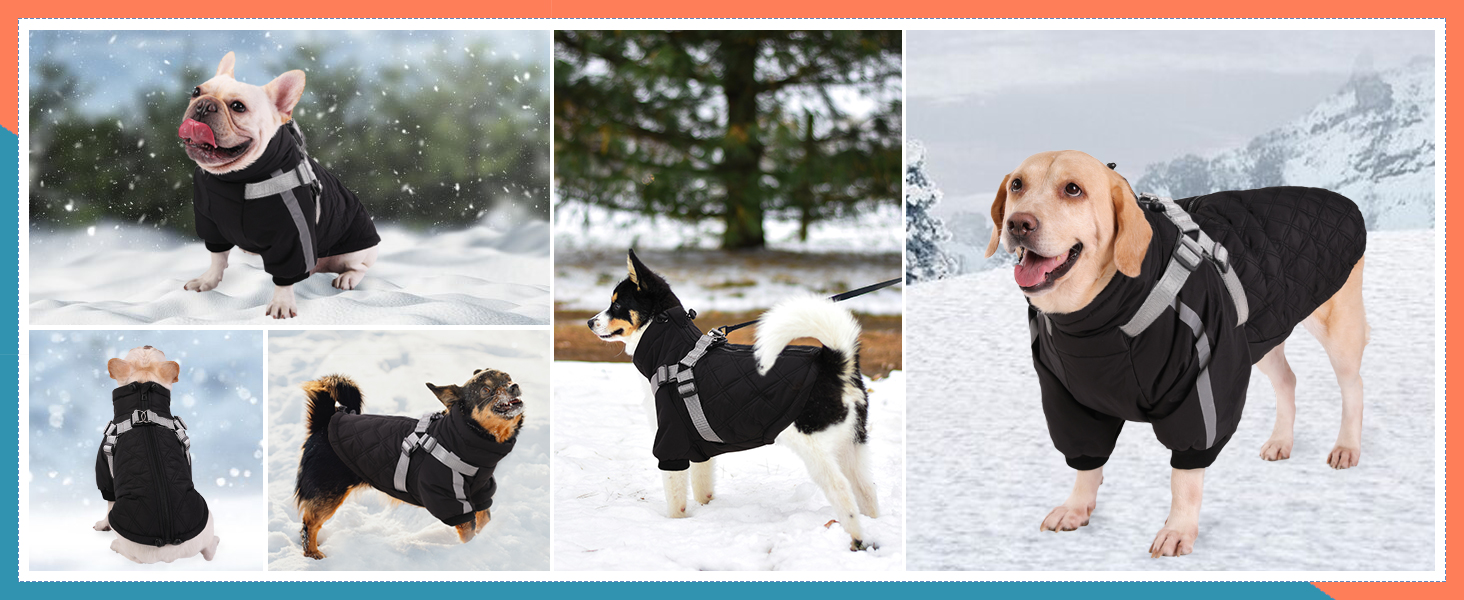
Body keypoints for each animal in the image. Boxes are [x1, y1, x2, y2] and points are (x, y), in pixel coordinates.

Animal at [92, 346, 219, 561]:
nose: (147, 344)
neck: (144, 409)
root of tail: (169, 549)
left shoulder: (104, 468)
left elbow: (108, 501)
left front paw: (102, 525)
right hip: (206, 515)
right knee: (209, 547)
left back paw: (115, 545)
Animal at [178, 52, 377, 319]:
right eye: (196, 92)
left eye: (238, 107)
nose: (204, 104)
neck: (235, 178)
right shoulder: (210, 222)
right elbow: (217, 257)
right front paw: (207, 281)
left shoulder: (292, 235)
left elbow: (284, 277)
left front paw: (282, 303)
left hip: (354, 250)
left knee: (361, 267)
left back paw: (347, 278)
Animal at [292, 367, 527, 559]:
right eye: (486, 390)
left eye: (507, 378)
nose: (514, 386)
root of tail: (325, 422)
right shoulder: (451, 501)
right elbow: (469, 530)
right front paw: (470, 551)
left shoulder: (480, 493)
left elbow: (484, 520)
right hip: (328, 494)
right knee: (309, 524)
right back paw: (312, 553)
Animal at [585, 250, 878, 550]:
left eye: (617, 305)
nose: (589, 322)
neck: (673, 353)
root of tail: (833, 363)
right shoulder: (697, 446)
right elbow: (702, 488)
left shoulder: (671, 443)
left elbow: (676, 500)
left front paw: (675, 527)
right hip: (853, 445)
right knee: (867, 491)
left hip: (817, 448)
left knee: (842, 491)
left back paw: (856, 537)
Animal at [983, 150, 1370, 559]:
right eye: (1017, 185)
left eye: (1073, 189)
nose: (1018, 224)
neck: (1095, 321)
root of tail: (1342, 200)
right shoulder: (1068, 397)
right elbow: (1086, 461)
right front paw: (1076, 507)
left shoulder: (1203, 379)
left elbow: (1185, 476)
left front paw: (1178, 529)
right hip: (1260, 331)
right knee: (1288, 381)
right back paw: (1282, 440)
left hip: (1337, 328)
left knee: (1353, 387)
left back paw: (1346, 447)